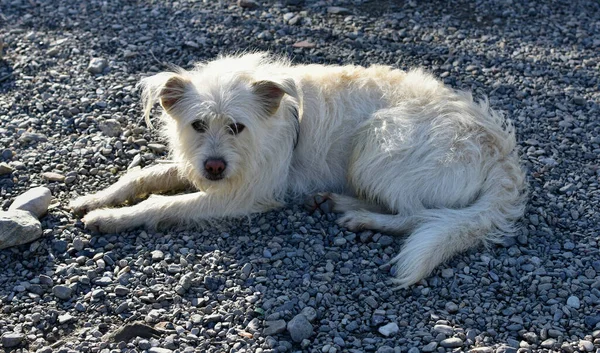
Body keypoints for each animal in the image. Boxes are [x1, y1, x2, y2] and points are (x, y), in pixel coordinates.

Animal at [72, 53, 528, 288]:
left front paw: (111, 218)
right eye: (198, 125)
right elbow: (144, 176)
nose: (215, 166)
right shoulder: (203, 167)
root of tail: (501, 154)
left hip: (379, 141)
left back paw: (357, 214)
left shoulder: (245, 191)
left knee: (416, 215)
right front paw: (95, 198)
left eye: (237, 126)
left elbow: (163, 205)